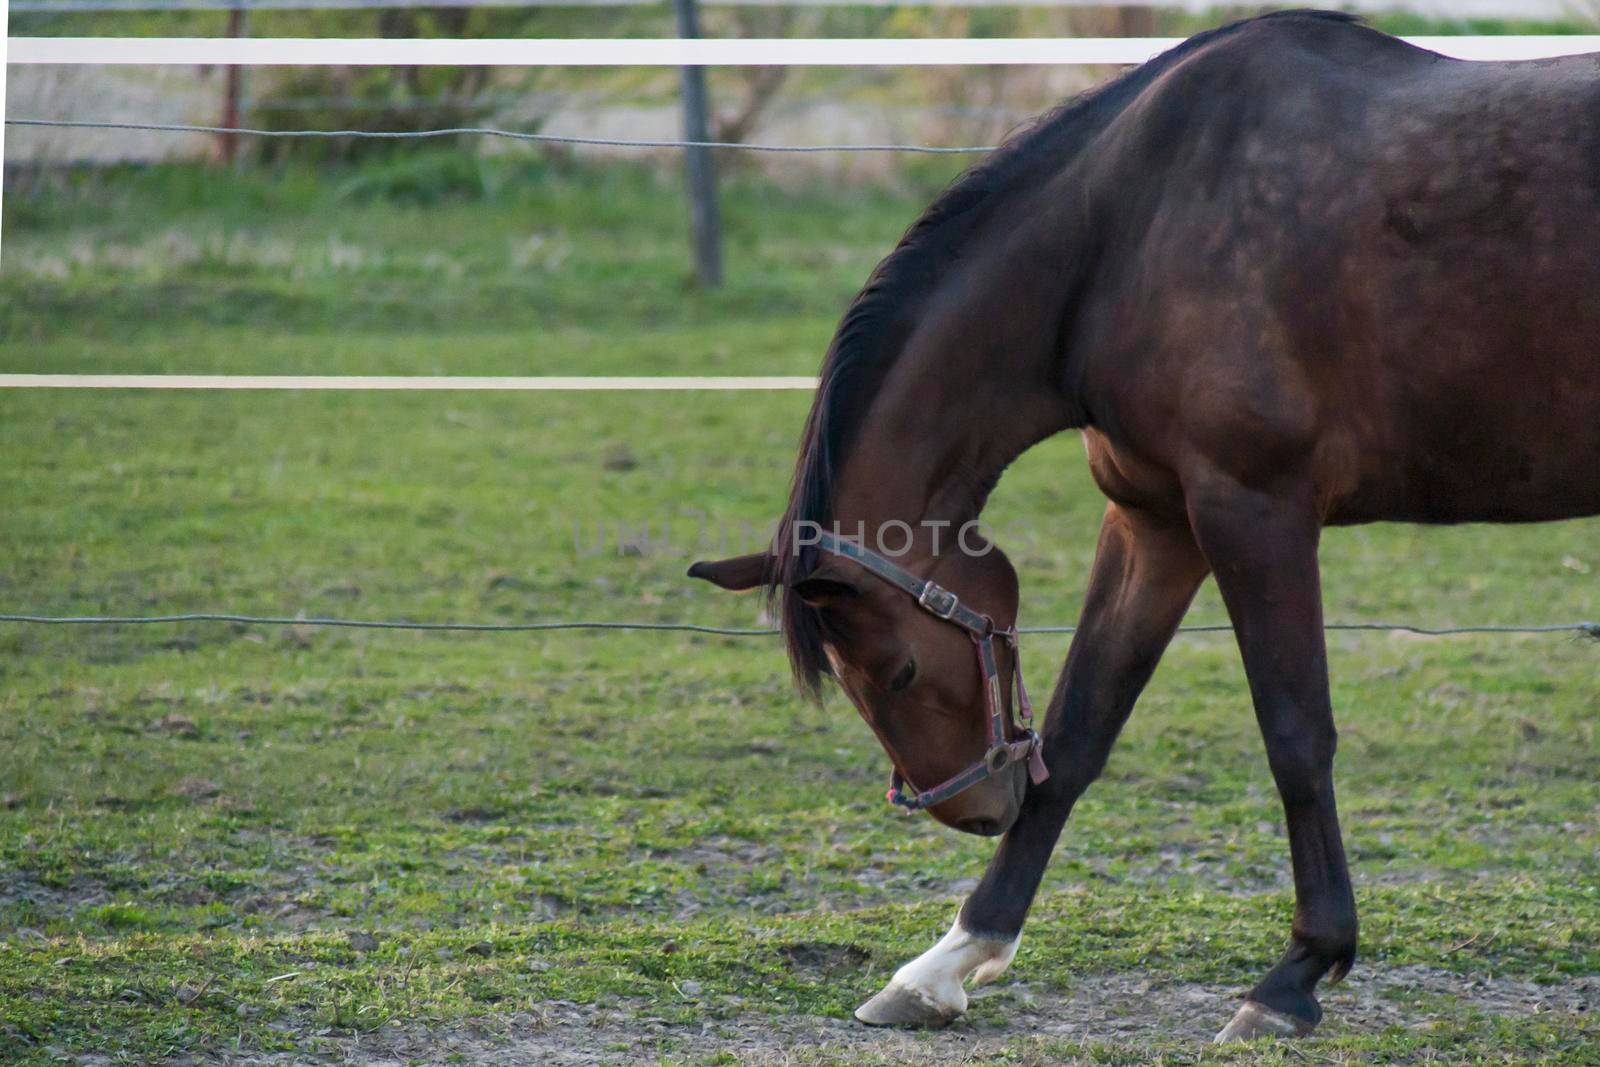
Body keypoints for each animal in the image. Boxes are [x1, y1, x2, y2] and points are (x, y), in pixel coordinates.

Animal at [688, 8, 1600, 1043]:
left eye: (901, 671)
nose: (975, 810)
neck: (1128, 234)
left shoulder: (1253, 509)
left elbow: (1296, 734)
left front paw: (1296, 971)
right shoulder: (1155, 520)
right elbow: (1081, 729)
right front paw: (951, 956)